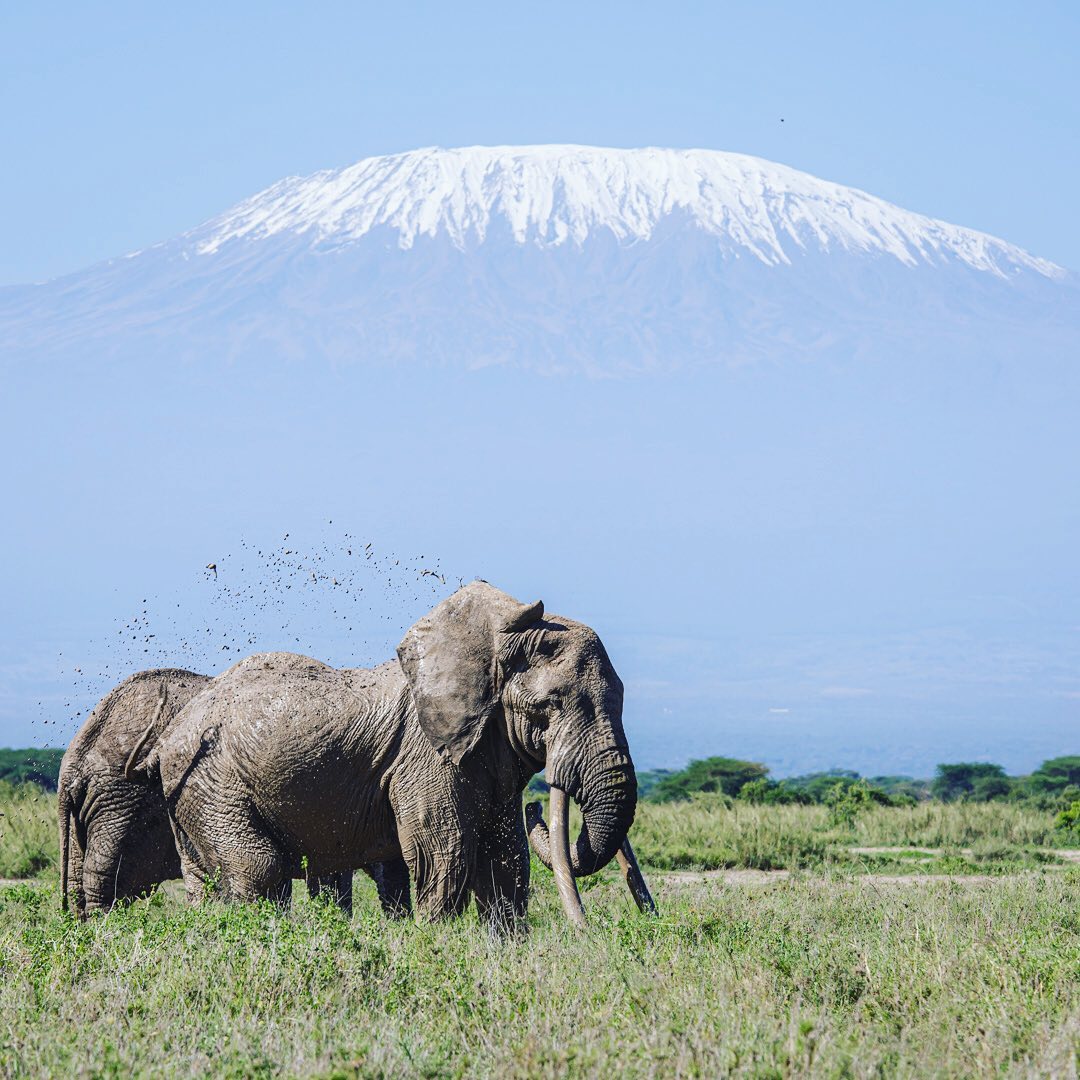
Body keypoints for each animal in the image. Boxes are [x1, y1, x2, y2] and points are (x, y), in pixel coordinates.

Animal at [136, 578, 652, 924]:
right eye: (551, 704)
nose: (537, 809)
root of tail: (169, 740)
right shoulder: (424, 755)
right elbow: (444, 854)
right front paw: (437, 944)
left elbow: (507, 859)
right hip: (214, 784)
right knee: (257, 871)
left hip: (193, 793)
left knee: (205, 881)